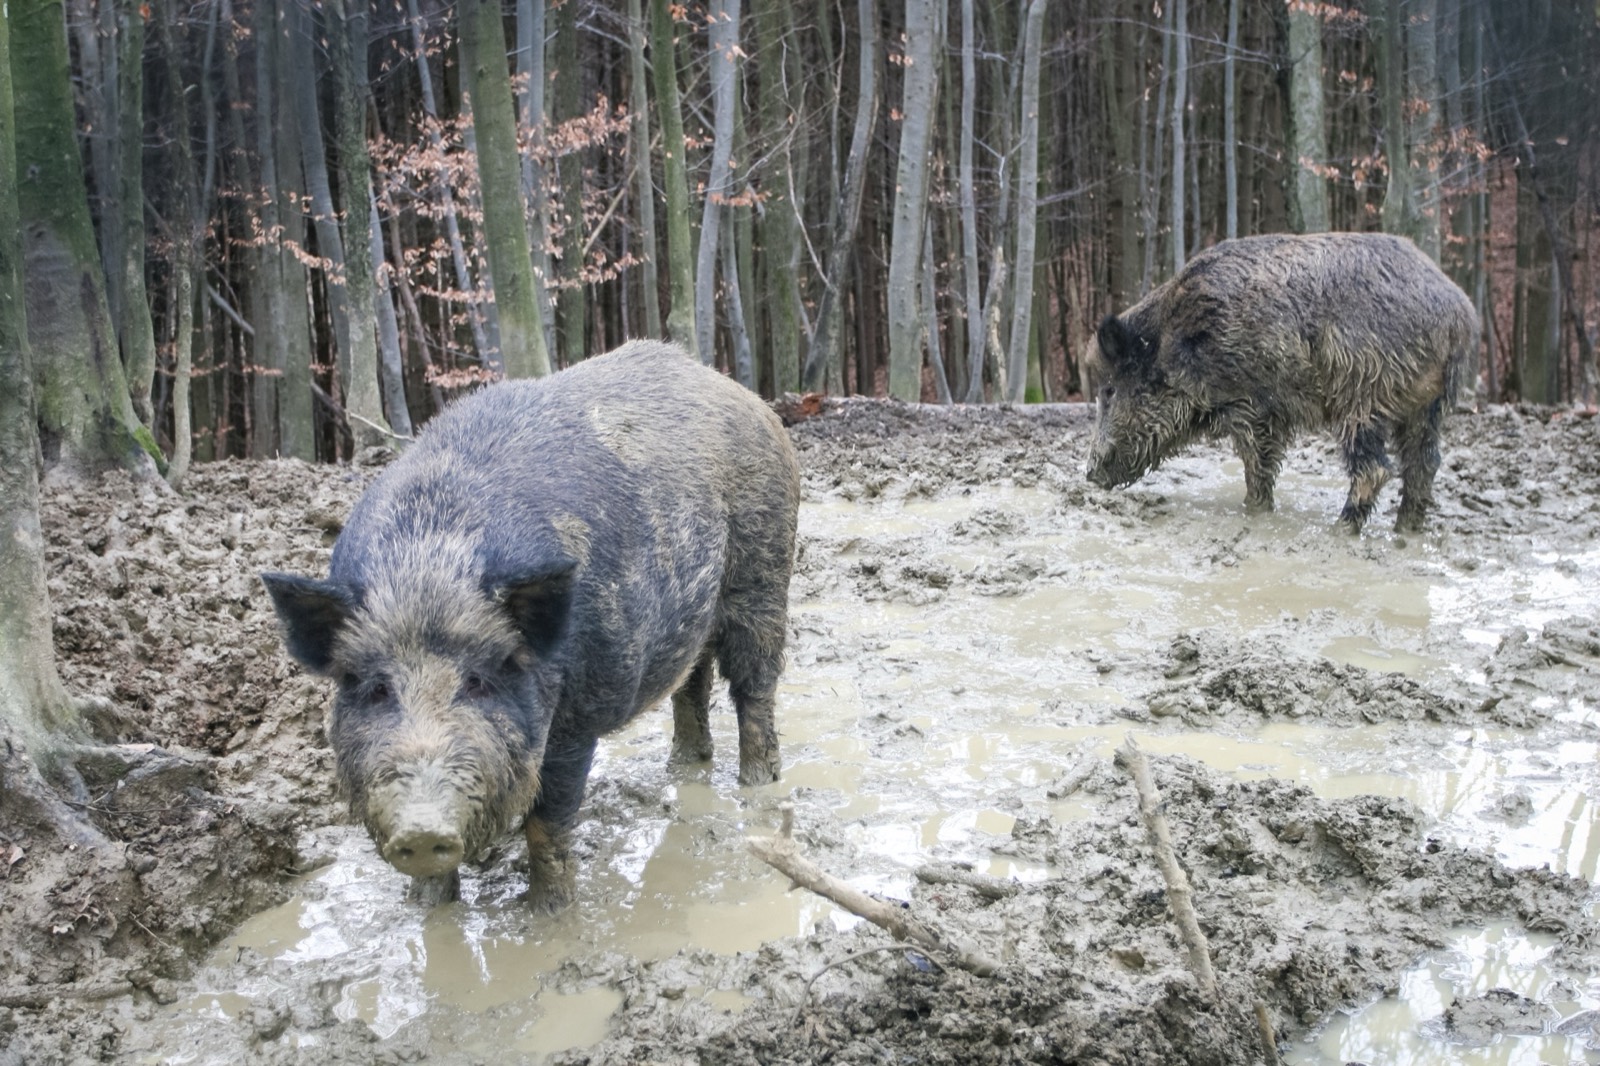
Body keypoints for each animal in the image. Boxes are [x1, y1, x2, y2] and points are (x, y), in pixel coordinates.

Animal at [262, 340, 800, 907]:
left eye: (479, 681)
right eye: (376, 688)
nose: (423, 830)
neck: (428, 564)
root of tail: (749, 400)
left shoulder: (576, 716)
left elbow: (548, 822)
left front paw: (553, 913)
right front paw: (428, 912)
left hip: (764, 569)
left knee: (754, 685)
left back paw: (757, 785)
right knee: (692, 681)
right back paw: (684, 768)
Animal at [1086, 232, 1476, 532]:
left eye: (1109, 390)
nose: (1090, 473)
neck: (1176, 343)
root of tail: (1459, 313)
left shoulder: (1252, 407)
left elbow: (1256, 468)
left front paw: (1255, 513)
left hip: (1365, 397)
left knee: (1375, 469)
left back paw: (1338, 531)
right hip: (1427, 406)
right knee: (1424, 465)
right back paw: (1405, 533)